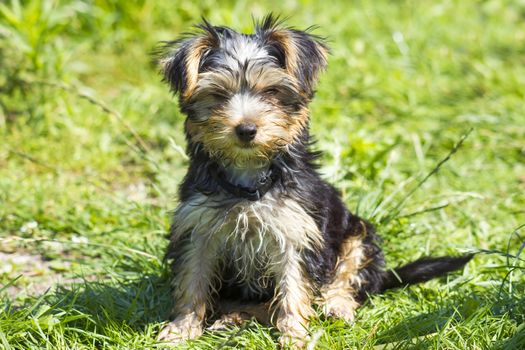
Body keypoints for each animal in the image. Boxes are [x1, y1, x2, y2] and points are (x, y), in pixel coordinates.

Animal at [156, 15, 470, 346]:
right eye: (217, 95)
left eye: (271, 92)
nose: (246, 129)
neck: (248, 174)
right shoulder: (198, 228)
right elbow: (193, 278)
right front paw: (181, 328)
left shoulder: (296, 231)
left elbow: (294, 285)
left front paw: (295, 336)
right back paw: (233, 318)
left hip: (357, 232)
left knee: (348, 275)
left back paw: (336, 306)